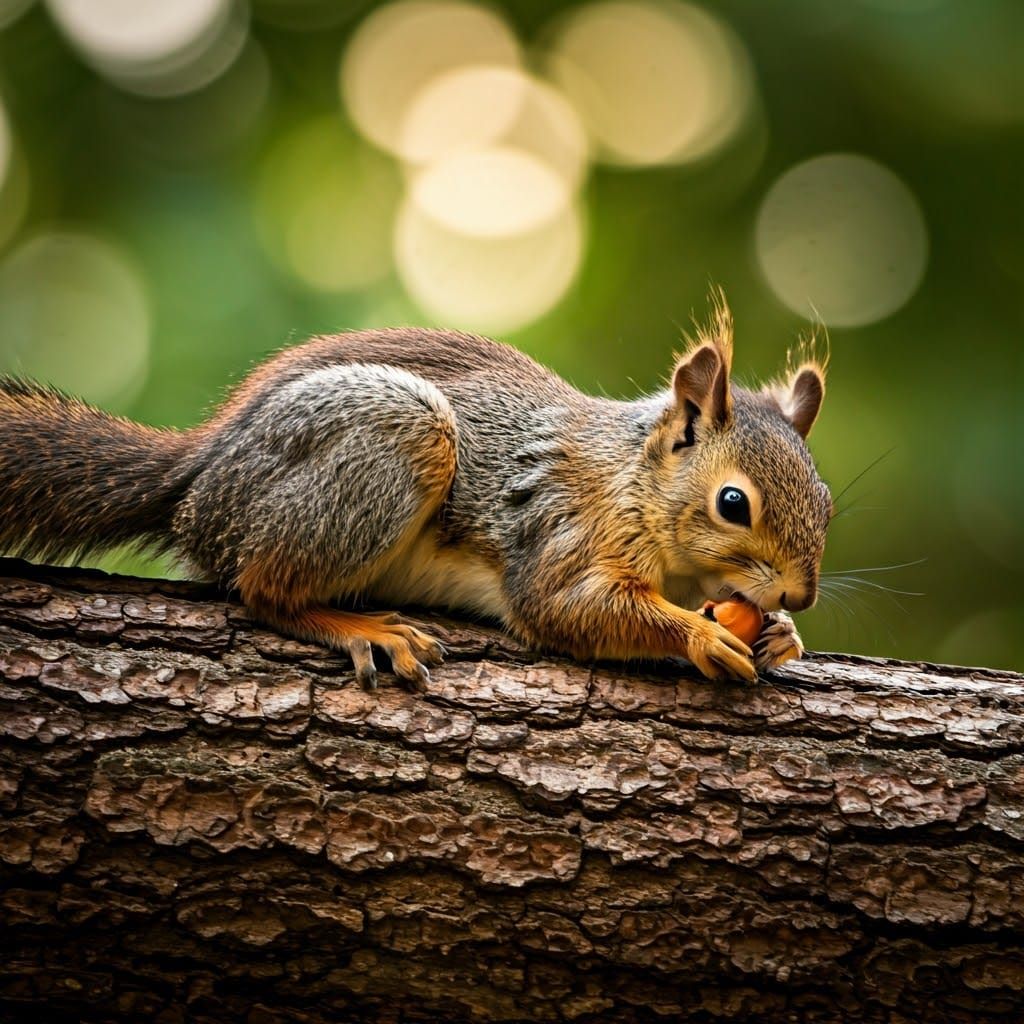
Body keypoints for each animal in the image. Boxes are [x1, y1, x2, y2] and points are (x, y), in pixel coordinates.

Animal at [0, 296, 831, 689]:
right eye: (733, 504)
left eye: (824, 502)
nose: (801, 594)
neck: (630, 481)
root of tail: (200, 478)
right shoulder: (560, 526)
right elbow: (564, 606)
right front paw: (700, 635)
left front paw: (783, 636)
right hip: (394, 439)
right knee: (261, 588)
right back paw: (360, 628)